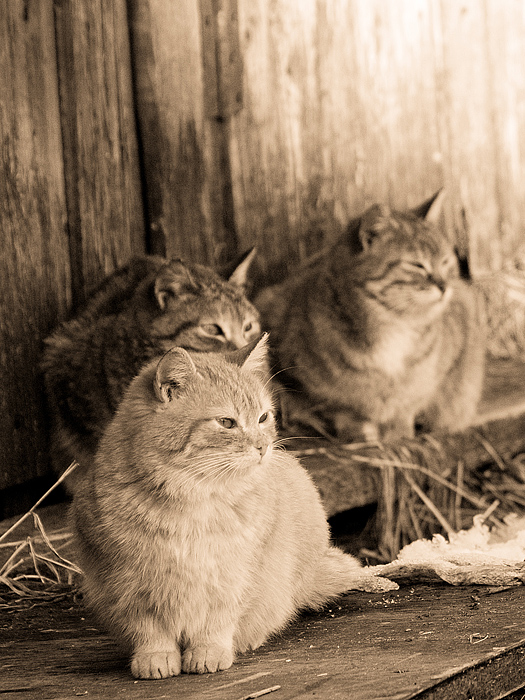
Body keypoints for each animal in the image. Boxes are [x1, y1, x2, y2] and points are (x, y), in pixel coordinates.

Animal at [70, 334, 398, 680]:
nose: (263, 447)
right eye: (227, 423)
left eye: (263, 418)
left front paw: (208, 651)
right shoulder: (129, 584)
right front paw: (155, 656)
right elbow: (150, 630)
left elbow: (217, 621)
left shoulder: (234, 577)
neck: (194, 498)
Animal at [256, 190, 486, 442]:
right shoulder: (312, 385)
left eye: (445, 262)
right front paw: (358, 434)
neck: (394, 326)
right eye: (417, 265)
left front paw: (399, 434)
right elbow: (342, 408)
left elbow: (407, 403)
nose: (445, 286)